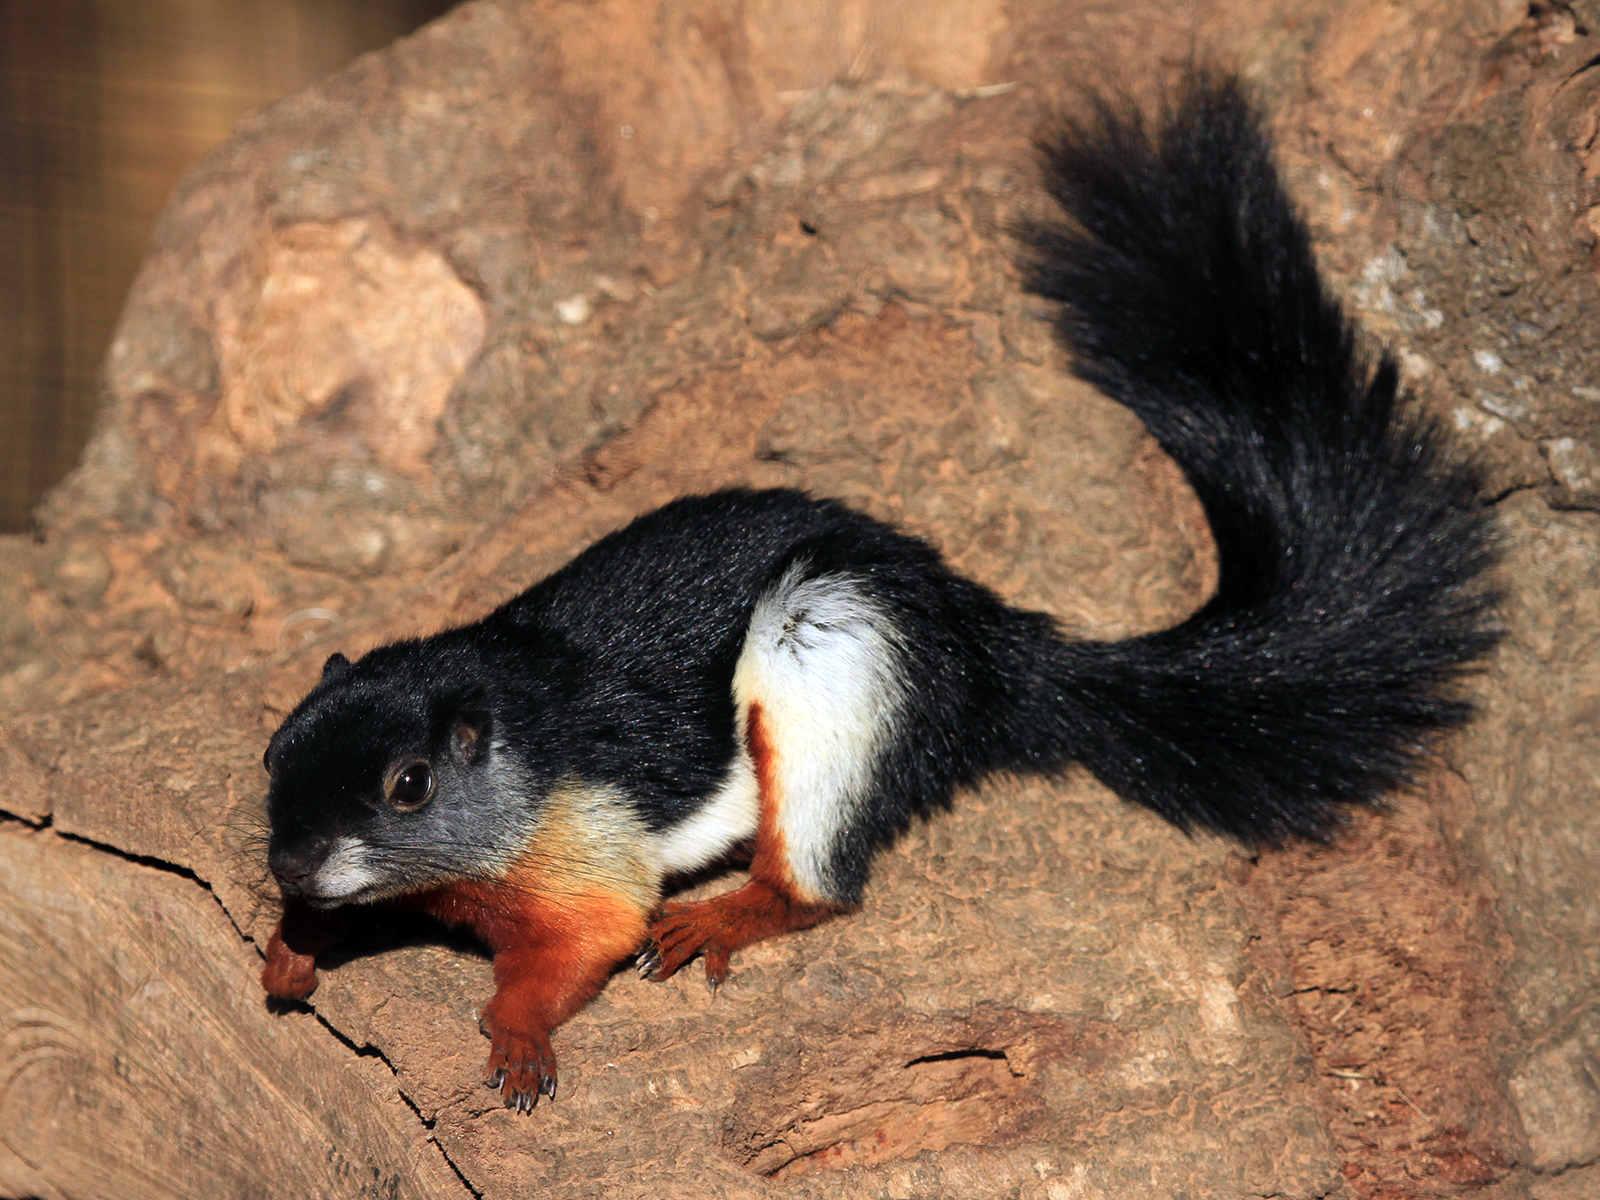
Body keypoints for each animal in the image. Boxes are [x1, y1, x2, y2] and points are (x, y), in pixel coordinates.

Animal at [260, 71, 1499, 1114]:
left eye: (410, 785)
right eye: (271, 757)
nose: (293, 864)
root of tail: (989, 647)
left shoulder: (587, 844)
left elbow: (585, 943)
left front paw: (516, 1040)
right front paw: (291, 945)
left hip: (836, 645)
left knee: (819, 883)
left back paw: (726, 918)